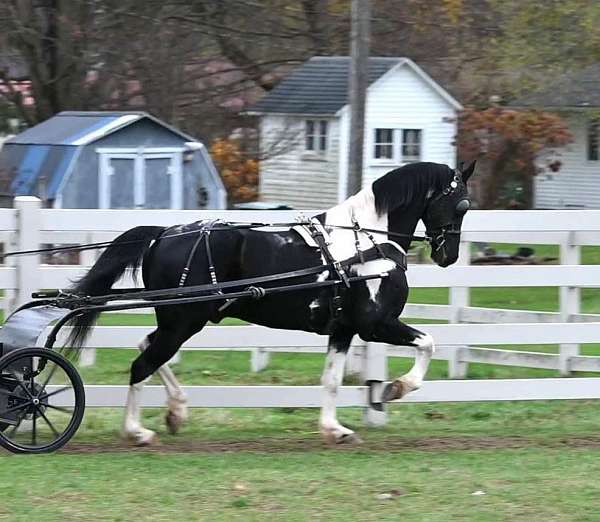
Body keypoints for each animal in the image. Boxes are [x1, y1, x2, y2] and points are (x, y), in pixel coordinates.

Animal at [68, 159, 476, 442]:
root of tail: (163, 233)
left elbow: (331, 380)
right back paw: (136, 431)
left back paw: (176, 411)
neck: (367, 243)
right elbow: (427, 343)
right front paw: (395, 388)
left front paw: (333, 429)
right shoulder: (375, 325)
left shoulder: (343, 329)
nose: (448, 255)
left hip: (176, 320)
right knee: (142, 364)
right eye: (462, 205)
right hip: (183, 321)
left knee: (147, 349)